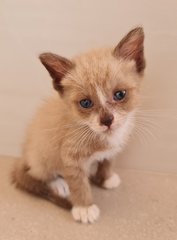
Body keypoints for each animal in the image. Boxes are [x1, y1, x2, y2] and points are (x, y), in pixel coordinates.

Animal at [12, 27, 145, 223]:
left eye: (120, 94)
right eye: (86, 103)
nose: (107, 120)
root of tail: (25, 154)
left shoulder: (114, 147)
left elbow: (108, 160)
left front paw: (105, 178)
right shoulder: (70, 157)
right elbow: (78, 183)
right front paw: (84, 208)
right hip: (42, 152)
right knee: (37, 173)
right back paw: (58, 183)